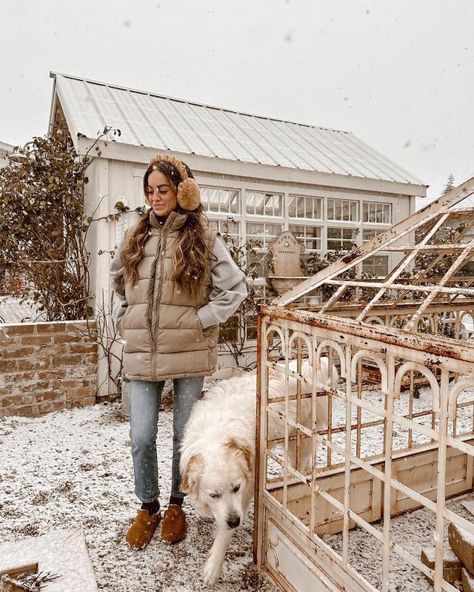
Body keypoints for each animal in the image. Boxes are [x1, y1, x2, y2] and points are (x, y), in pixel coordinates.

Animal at [179, 358, 336, 584]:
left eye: (236, 488)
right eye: (214, 494)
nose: (235, 521)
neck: (215, 434)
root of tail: (305, 365)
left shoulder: (247, 488)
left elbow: (224, 534)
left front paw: (213, 566)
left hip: (299, 442)